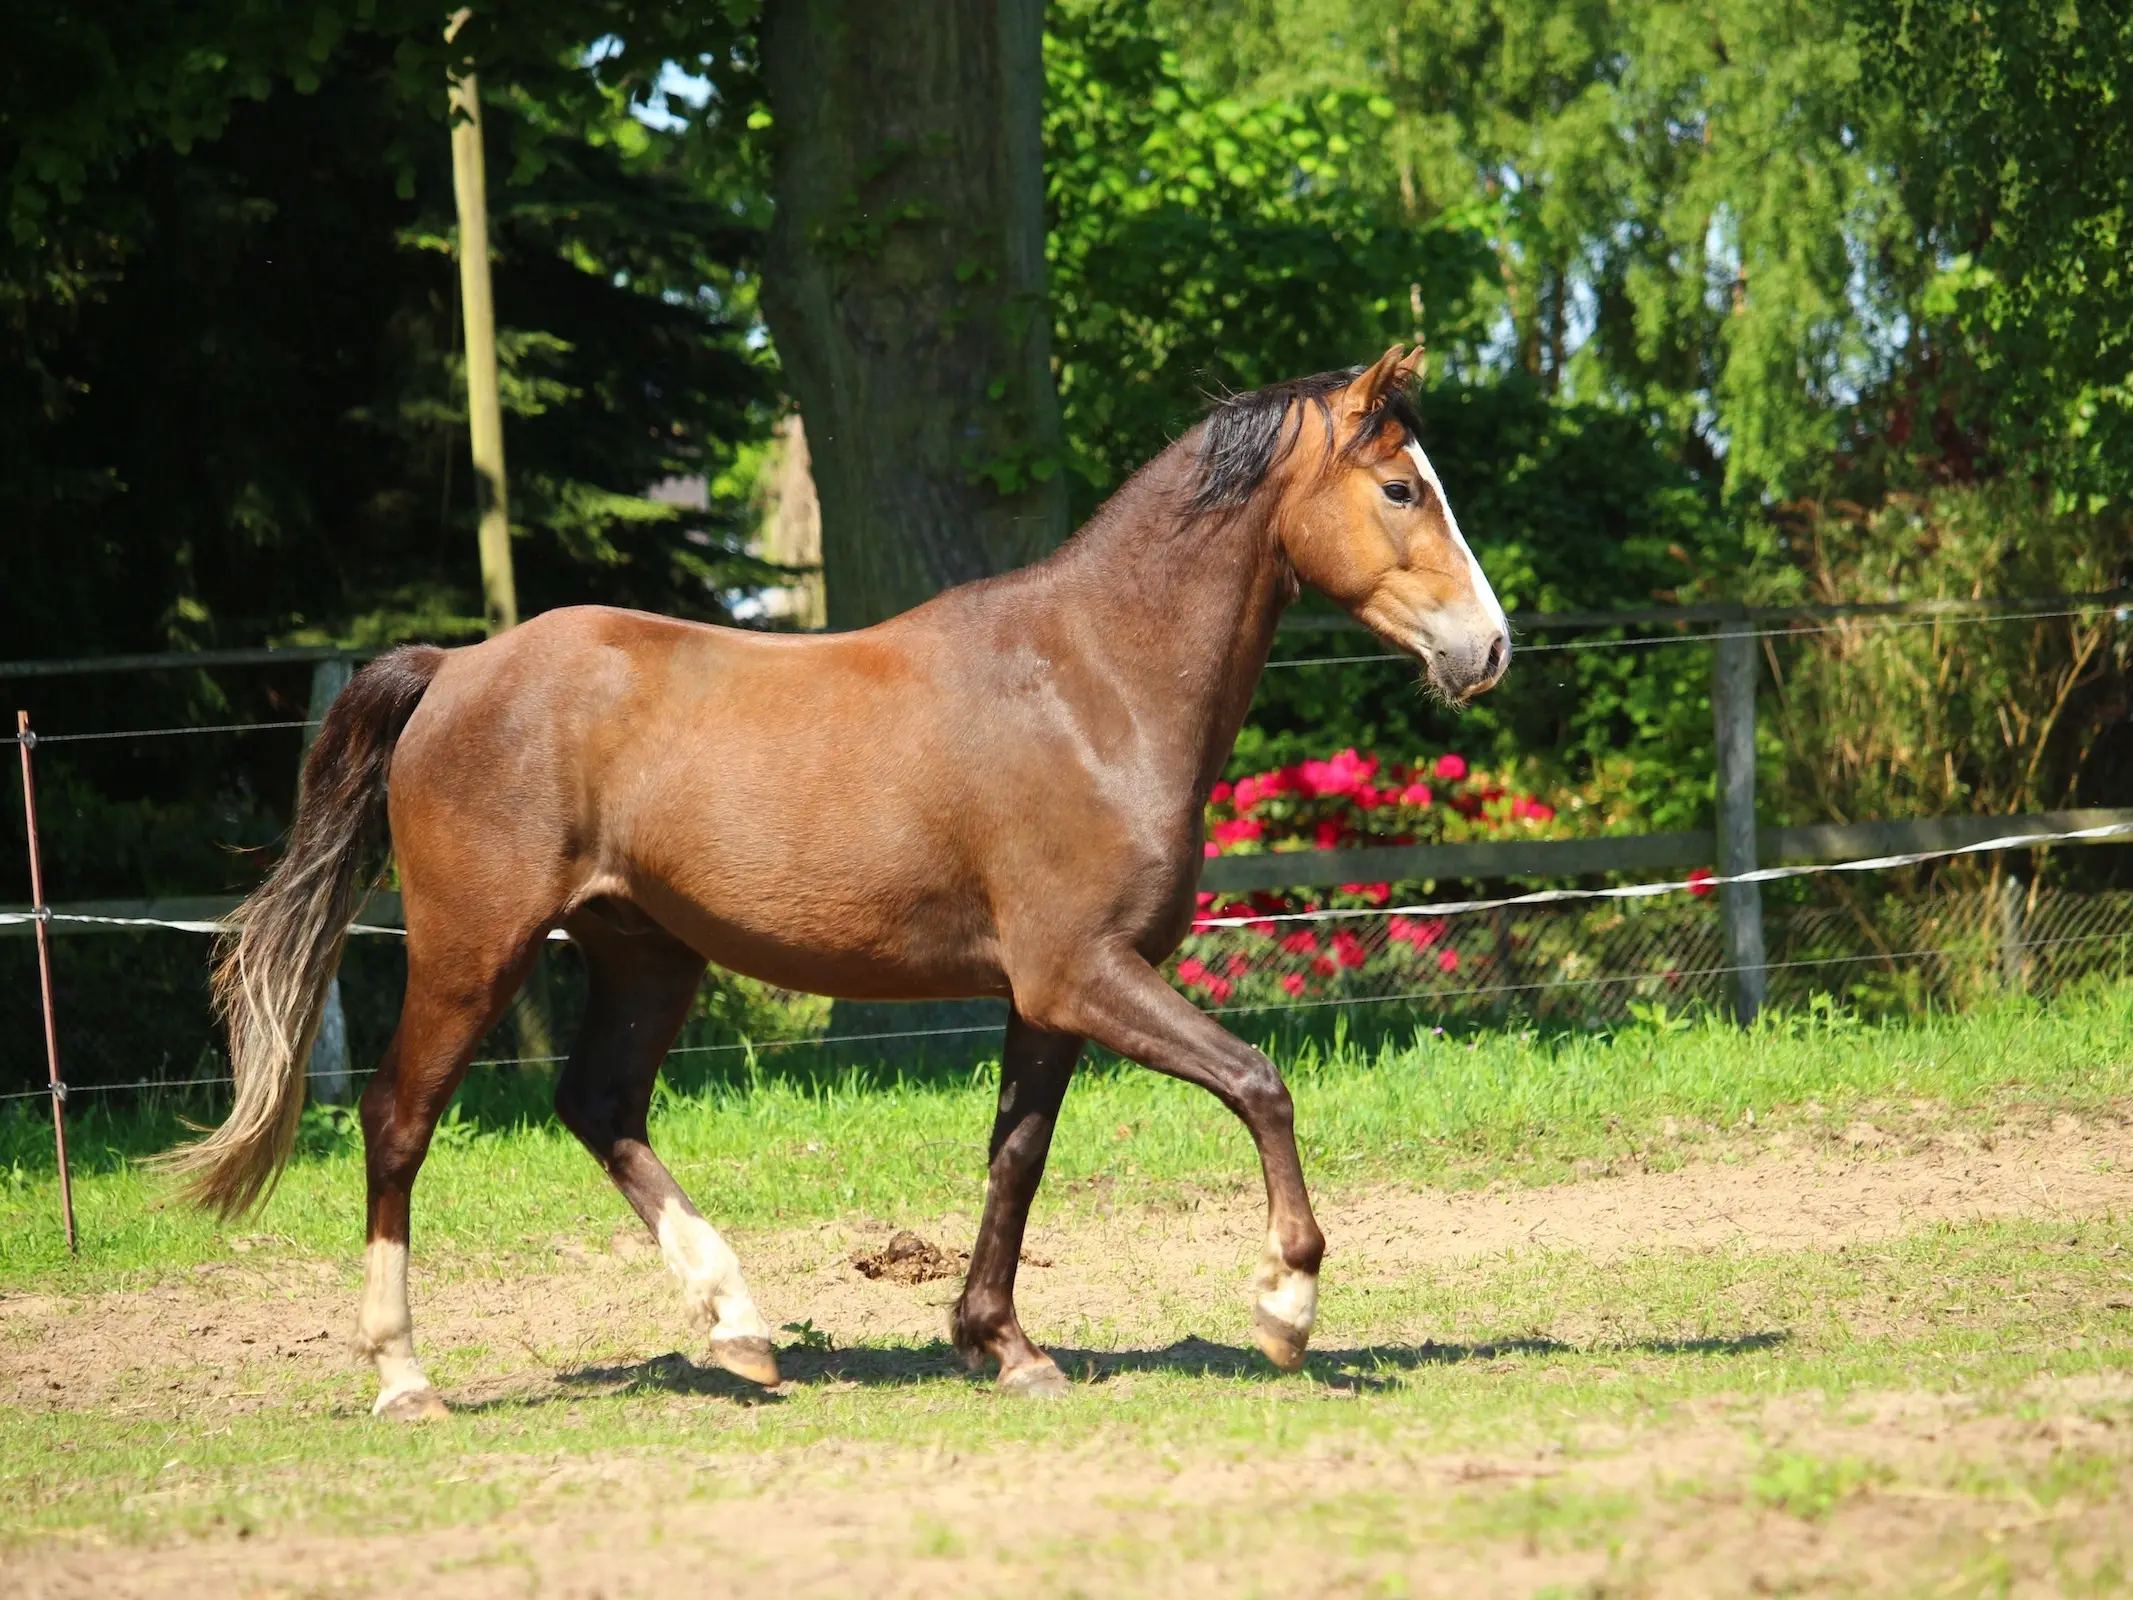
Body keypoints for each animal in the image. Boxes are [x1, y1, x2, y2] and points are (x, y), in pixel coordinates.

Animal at [166, 345, 1510, 1425]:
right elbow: (1258, 1083)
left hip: (646, 953)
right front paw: (1286, 1305)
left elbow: (1017, 1153)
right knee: (398, 1124)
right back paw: (407, 1379)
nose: (1488, 648)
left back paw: (740, 1329)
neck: (1092, 686)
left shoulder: (1046, 997)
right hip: (473, 948)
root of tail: (453, 668)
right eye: (1402, 488)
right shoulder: (1083, 973)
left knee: (599, 1105)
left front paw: (1003, 1346)